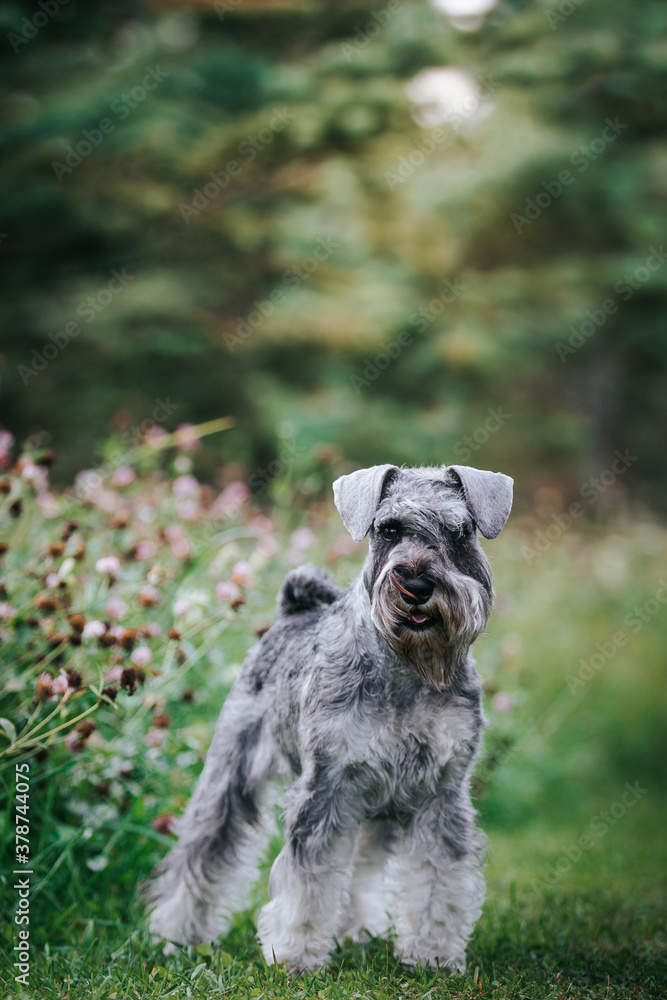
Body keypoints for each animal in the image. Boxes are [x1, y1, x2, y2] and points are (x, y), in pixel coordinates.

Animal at [145, 464, 512, 972]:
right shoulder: (326, 786)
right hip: (232, 774)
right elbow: (309, 878)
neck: (406, 668)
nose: (416, 586)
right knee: (201, 852)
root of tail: (292, 612)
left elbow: (440, 879)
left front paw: (434, 953)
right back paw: (177, 935)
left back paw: (356, 930)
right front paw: (295, 955)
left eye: (459, 531)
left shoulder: (442, 792)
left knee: (360, 869)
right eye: (388, 529)